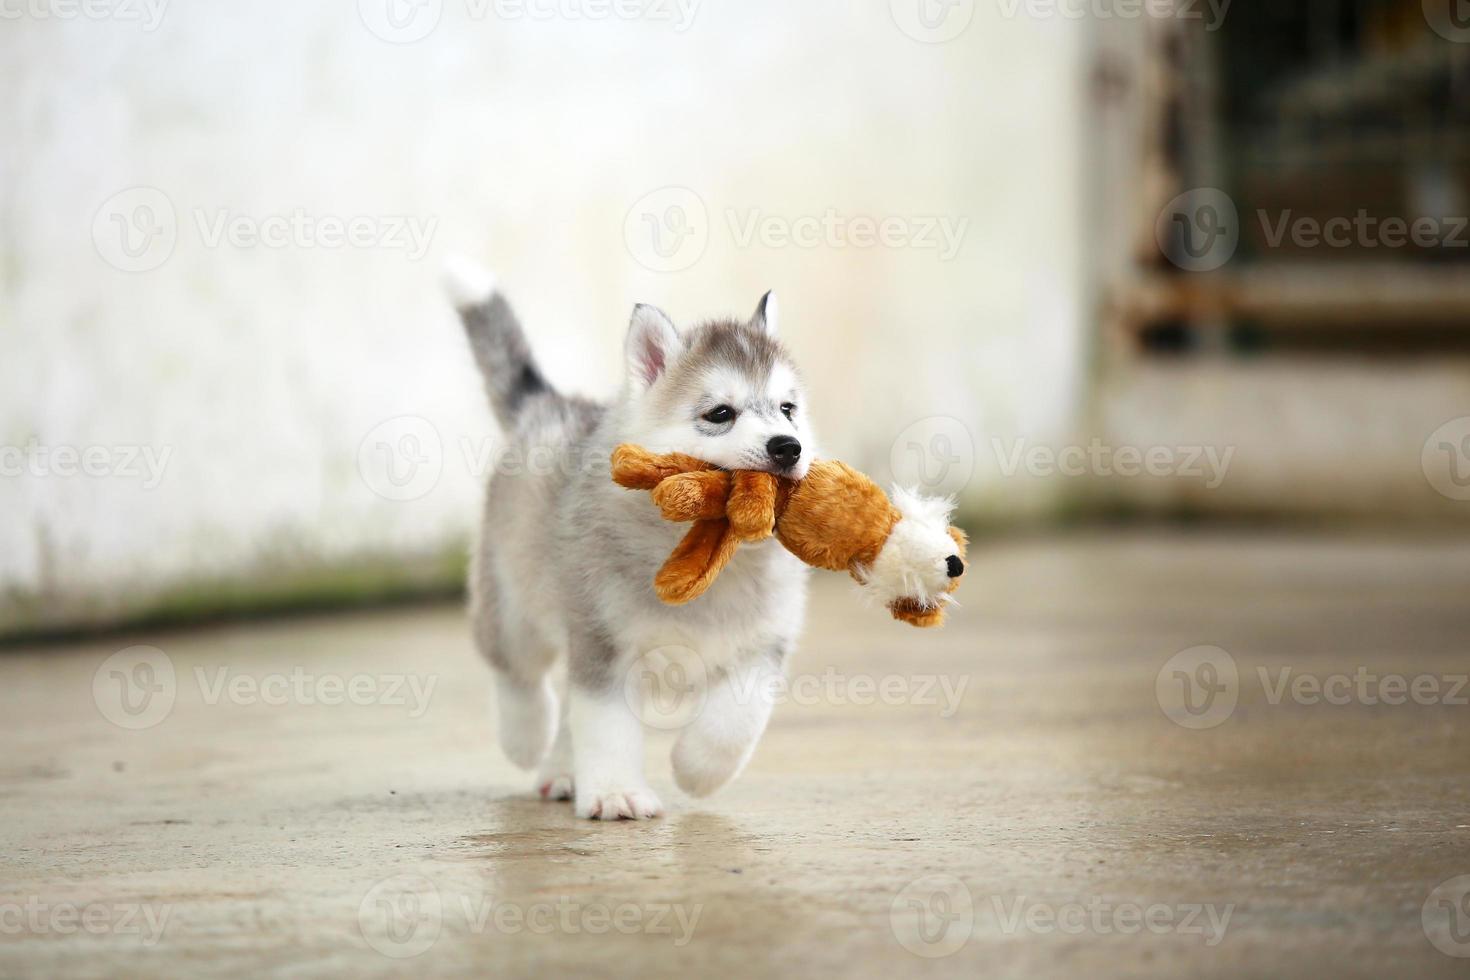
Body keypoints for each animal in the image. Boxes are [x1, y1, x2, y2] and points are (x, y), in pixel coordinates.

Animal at [446, 258, 817, 822]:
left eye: (787, 409)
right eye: (720, 413)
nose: (787, 447)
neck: (710, 554)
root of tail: (550, 405)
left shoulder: (763, 645)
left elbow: (734, 722)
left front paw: (696, 768)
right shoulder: (603, 641)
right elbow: (605, 726)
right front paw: (616, 793)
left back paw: (561, 769)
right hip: (513, 604)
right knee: (518, 671)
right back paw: (527, 737)